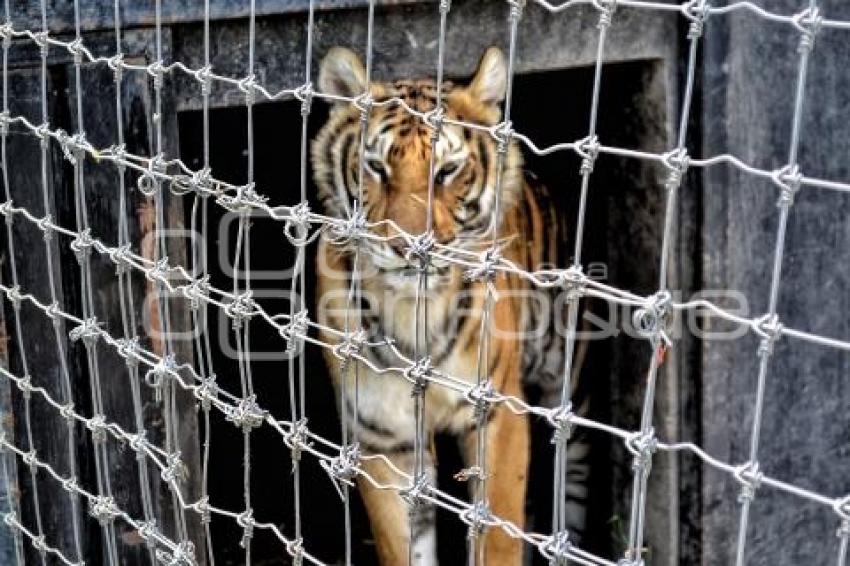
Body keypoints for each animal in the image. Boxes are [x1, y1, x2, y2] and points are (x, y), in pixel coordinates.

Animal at [312, 46, 588, 564]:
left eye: (446, 172)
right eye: (376, 167)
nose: (408, 247)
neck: (413, 311)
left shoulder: (497, 415)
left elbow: (498, 533)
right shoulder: (384, 437)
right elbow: (403, 544)